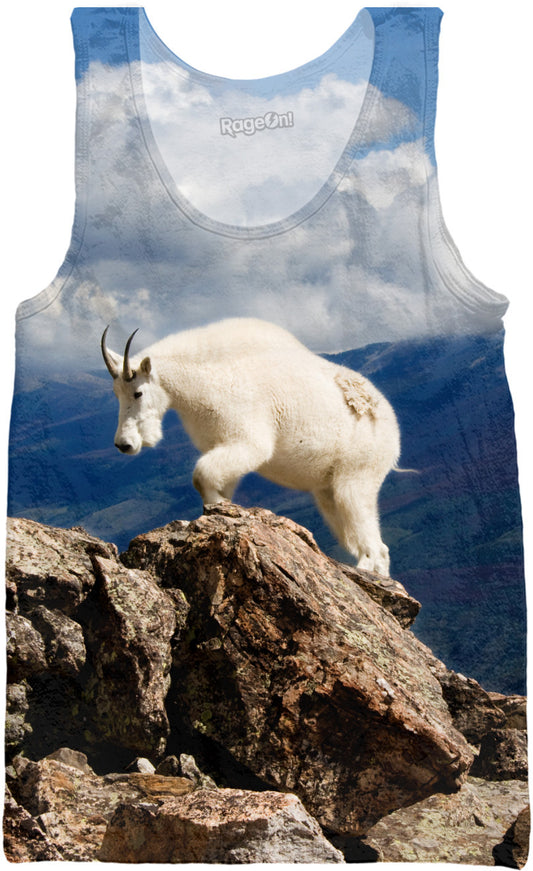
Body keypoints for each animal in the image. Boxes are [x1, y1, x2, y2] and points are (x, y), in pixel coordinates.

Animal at [101, 318, 400, 575]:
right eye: (115, 394)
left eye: (138, 392)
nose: (124, 444)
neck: (201, 379)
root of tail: (393, 431)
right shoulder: (224, 444)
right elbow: (214, 482)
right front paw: (220, 510)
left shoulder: (248, 440)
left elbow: (201, 475)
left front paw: (220, 509)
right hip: (328, 490)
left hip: (357, 477)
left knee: (375, 546)